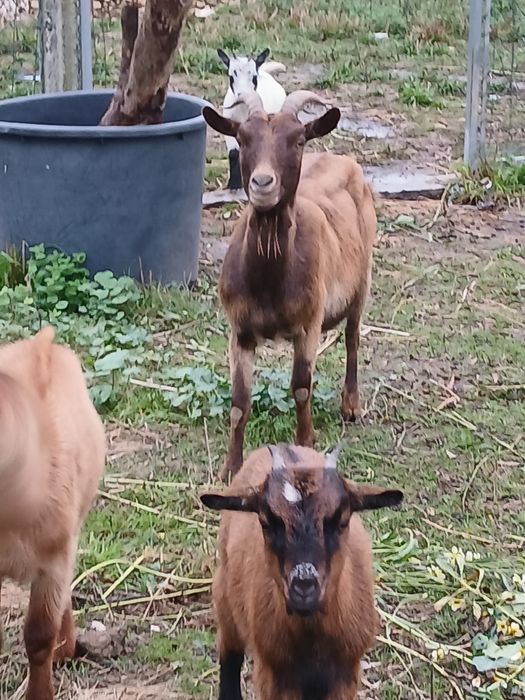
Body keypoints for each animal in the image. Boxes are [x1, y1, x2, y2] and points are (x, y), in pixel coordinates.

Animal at [201, 443, 403, 700]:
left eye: (341, 519)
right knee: (230, 655)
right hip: (224, 598)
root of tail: (285, 445)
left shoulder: (346, 677)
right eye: (266, 521)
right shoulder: (272, 677)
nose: (304, 585)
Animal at [202, 91, 376, 478]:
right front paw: (230, 468)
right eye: (242, 138)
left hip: (363, 277)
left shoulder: (307, 325)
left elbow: (300, 388)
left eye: (297, 140)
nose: (262, 184)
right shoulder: (240, 330)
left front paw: (306, 444)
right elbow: (239, 402)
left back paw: (351, 406)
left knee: (353, 338)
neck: (269, 280)